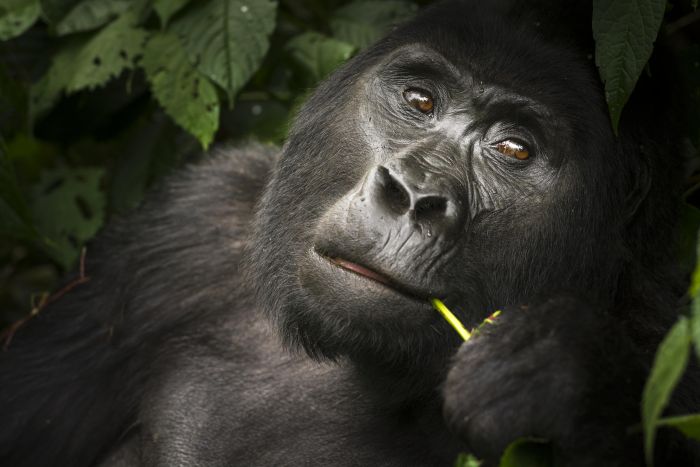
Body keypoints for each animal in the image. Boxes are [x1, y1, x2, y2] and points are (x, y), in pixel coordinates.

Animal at [1, 0, 700, 466]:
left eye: (514, 148)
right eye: (419, 101)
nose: (413, 194)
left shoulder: (666, 338)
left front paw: (564, 380)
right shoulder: (191, 223)